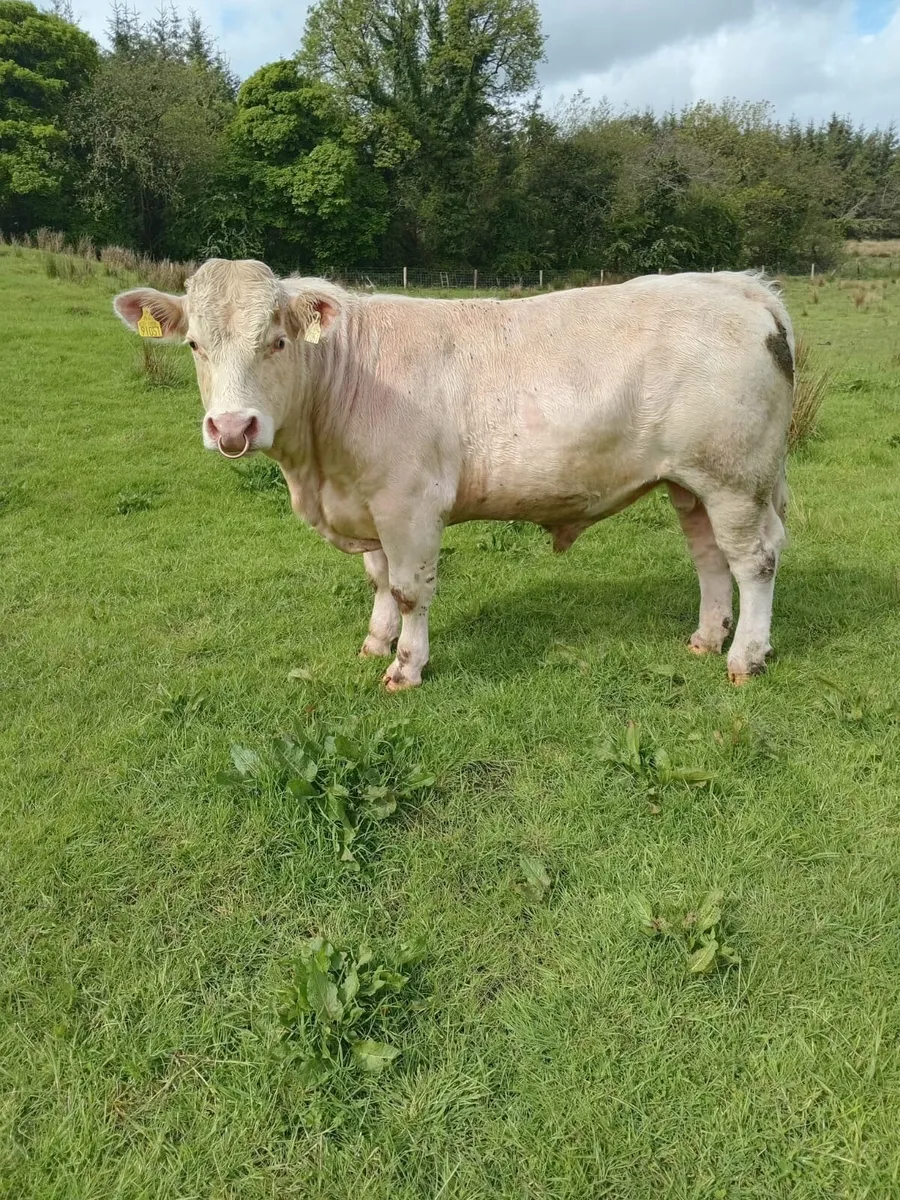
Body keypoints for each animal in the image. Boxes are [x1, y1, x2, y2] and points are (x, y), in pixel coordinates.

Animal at [113, 260, 794, 691]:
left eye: (277, 341)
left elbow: (410, 590)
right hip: (692, 483)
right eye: (196, 345)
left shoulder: (409, 504)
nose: (232, 427)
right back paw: (707, 637)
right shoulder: (369, 504)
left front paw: (405, 667)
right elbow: (379, 580)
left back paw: (746, 657)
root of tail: (738, 286)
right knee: (710, 558)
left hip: (736, 479)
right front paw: (376, 641)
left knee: (754, 560)